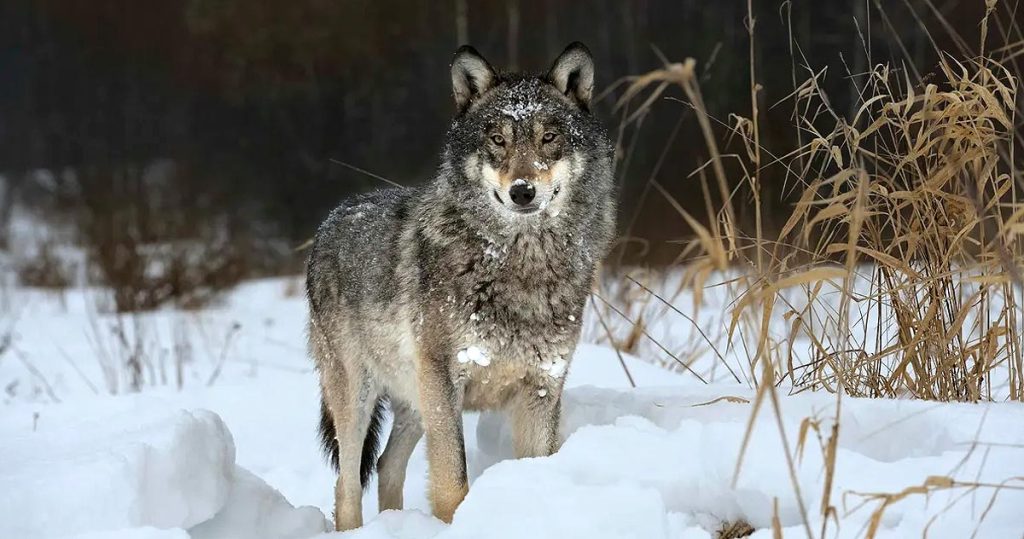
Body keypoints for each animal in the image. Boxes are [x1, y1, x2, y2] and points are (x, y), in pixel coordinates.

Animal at [305, 42, 614, 532]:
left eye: (549, 137)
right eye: (498, 140)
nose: (523, 191)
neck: (520, 265)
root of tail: (331, 219)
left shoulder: (542, 387)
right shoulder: (445, 382)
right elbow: (453, 482)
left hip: (415, 401)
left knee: (386, 466)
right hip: (360, 398)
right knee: (348, 483)